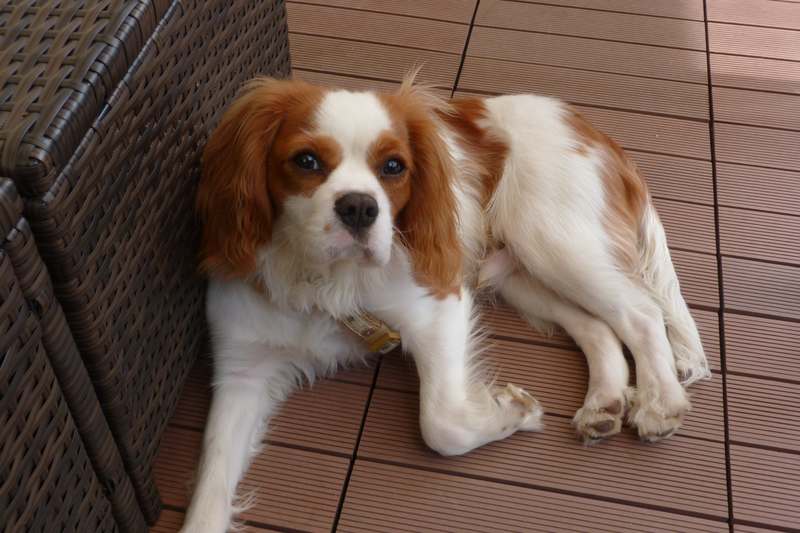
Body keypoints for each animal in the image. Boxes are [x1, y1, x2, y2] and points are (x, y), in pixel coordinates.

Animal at [180, 73, 710, 532]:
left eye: (394, 167)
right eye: (306, 161)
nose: (360, 207)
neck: (323, 281)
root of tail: (589, 128)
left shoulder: (439, 303)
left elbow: (442, 424)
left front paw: (512, 410)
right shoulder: (242, 371)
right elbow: (209, 490)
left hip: (555, 243)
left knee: (641, 314)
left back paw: (661, 401)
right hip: (524, 274)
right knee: (597, 327)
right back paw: (604, 402)